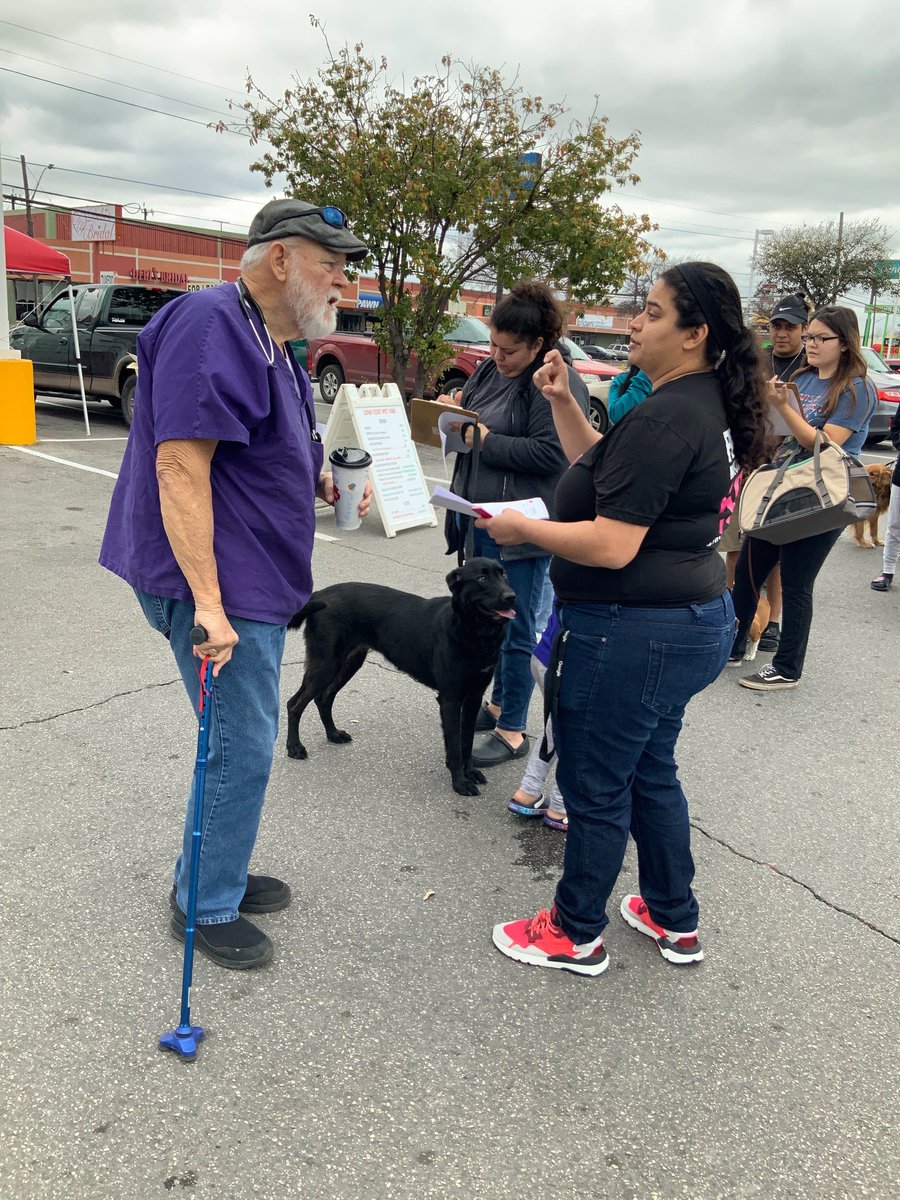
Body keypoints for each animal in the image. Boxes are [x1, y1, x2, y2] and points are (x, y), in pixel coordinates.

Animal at [285, 559, 518, 796]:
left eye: (504, 575)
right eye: (482, 578)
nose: (512, 596)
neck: (472, 631)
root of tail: (319, 593)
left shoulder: (474, 697)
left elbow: (467, 741)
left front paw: (470, 772)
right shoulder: (450, 699)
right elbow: (454, 745)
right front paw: (460, 783)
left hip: (349, 663)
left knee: (324, 698)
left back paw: (333, 734)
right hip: (325, 665)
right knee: (294, 704)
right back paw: (294, 747)